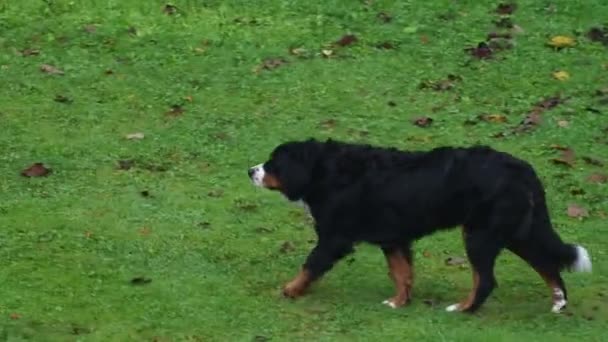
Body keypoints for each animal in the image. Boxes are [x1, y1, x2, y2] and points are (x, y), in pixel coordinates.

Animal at [246, 138, 588, 312]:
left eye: (273, 163)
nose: (250, 170)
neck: (325, 170)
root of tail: (520, 167)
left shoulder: (334, 237)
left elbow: (310, 264)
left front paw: (289, 290)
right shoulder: (393, 238)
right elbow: (402, 273)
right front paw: (399, 302)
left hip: (480, 234)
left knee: (486, 280)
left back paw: (462, 308)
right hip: (518, 231)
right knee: (548, 263)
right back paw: (558, 302)